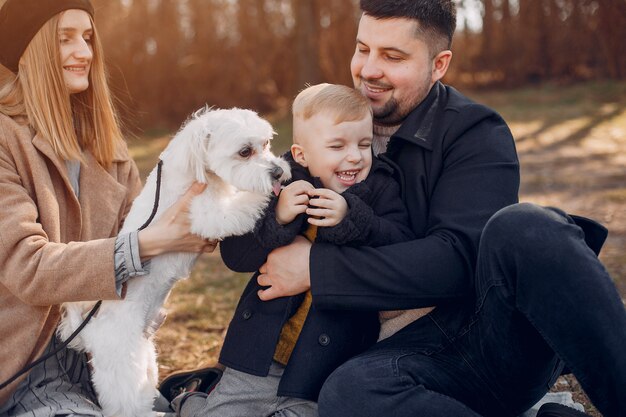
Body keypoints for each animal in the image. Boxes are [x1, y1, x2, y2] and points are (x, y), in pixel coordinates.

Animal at [56, 106, 290, 416]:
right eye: (244, 152)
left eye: (265, 144)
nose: (278, 171)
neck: (199, 173)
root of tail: (89, 331)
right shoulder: (207, 215)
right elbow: (243, 204)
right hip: (124, 368)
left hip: (147, 360)